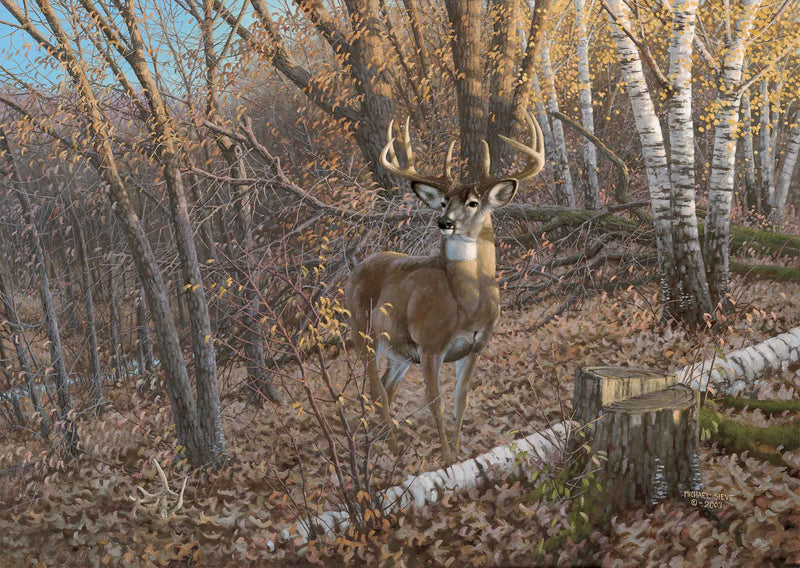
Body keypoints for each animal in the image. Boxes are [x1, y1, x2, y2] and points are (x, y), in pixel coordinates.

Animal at [346, 111, 545, 464]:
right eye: (442, 203)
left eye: (474, 202)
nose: (445, 223)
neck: (466, 305)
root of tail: (357, 268)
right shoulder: (430, 345)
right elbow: (435, 403)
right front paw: (448, 460)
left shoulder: (475, 346)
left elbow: (459, 400)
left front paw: (460, 452)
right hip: (363, 334)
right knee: (375, 390)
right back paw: (393, 451)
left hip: (399, 353)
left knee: (386, 387)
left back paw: (386, 444)